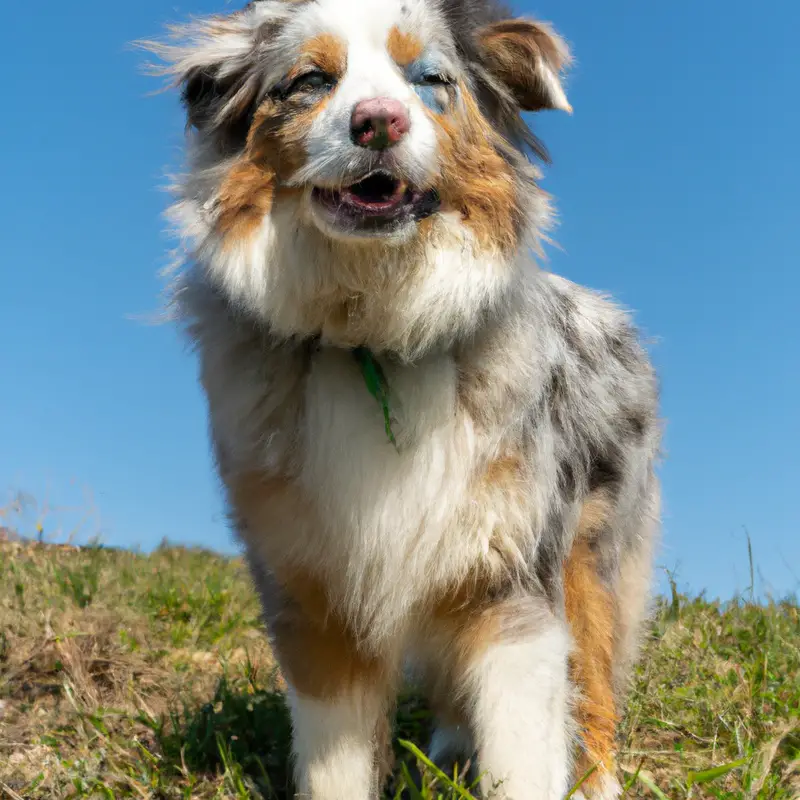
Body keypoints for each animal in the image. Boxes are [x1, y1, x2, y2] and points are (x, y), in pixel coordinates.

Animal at [141, 3, 660, 796]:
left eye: (431, 80)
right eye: (311, 80)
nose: (378, 121)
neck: (372, 331)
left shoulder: (511, 581)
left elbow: (525, 748)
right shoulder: (314, 595)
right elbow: (337, 763)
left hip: (592, 558)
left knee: (596, 689)